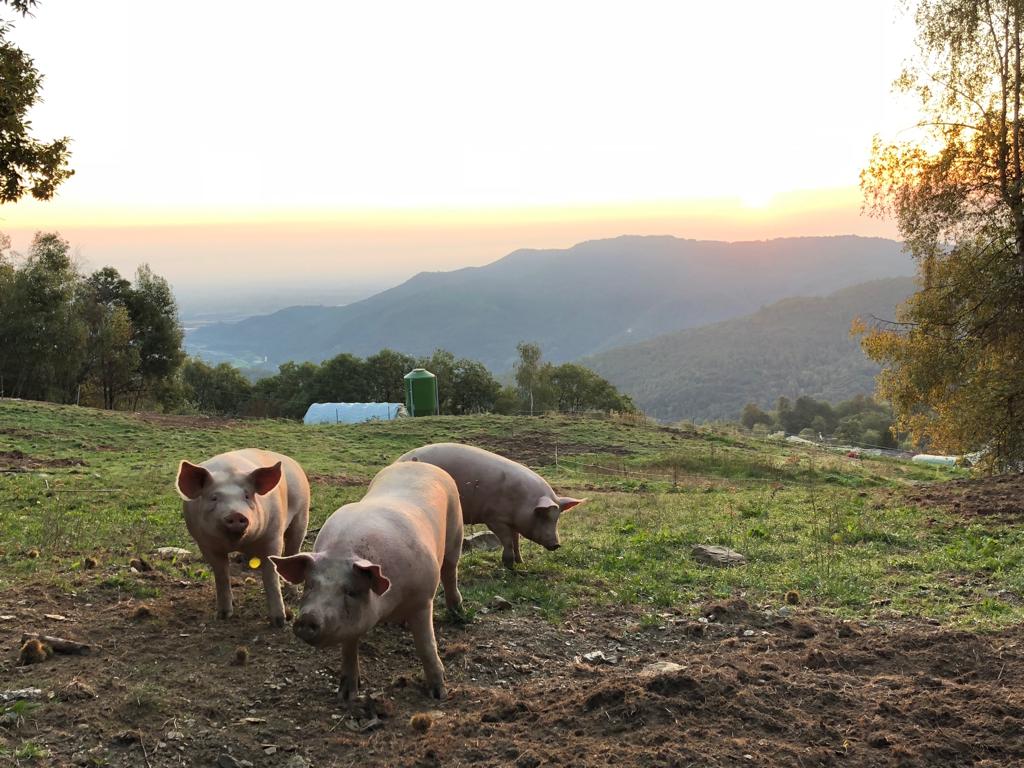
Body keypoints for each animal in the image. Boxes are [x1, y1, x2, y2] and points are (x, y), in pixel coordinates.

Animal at [175, 450, 307, 626]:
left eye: (247, 496)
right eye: (214, 498)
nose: (236, 514)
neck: (237, 543)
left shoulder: (273, 536)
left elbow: (270, 577)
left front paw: (279, 622)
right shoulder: (205, 543)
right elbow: (222, 574)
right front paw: (223, 615)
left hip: (302, 516)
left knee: (293, 550)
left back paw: (292, 596)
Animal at [272, 462, 464, 704]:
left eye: (351, 591)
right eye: (310, 585)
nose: (307, 618)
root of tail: (420, 463)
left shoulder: (423, 599)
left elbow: (426, 645)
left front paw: (439, 695)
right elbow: (348, 649)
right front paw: (346, 696)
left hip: (456, 530)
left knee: (450, 570)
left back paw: (457, 610)